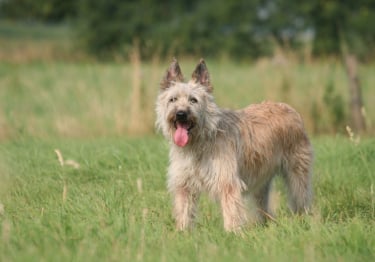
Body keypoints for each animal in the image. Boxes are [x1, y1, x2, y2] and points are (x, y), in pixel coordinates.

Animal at [156, 58, 314, 231]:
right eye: (173, 99)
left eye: (193, 100)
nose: (181, 114)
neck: (201, 140)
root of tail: (289, 108)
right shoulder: (184, 185)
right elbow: (184, 209)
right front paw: (183, 231)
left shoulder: (227, 182)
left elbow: (231, 210)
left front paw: (232, 232)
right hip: (261, 179)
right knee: (263, 203)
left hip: (296, 172)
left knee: (301, 195)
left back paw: (303, 219)